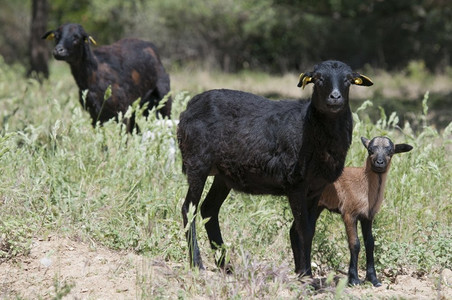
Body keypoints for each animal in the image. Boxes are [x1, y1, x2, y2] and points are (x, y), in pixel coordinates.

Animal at [42, 22, 171, 131]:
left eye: (76, 37)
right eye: (56, 36)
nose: (58, 51)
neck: (93, 75)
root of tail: (150, 46)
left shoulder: (122, 113)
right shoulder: (95, 116)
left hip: (164, 99)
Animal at [177, 60, 374, 276]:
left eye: (348, 80)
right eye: (318, 79)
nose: (335, 97)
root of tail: (189, 106)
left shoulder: (316, 188)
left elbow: (308, 229)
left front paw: (301, 271)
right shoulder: (296, 184)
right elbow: (304, 229)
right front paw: (306, 273)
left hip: (223, 174)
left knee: (209, 209)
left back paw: (225, 265)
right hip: (197, 163)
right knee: (189, 209)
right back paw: (197, 263)